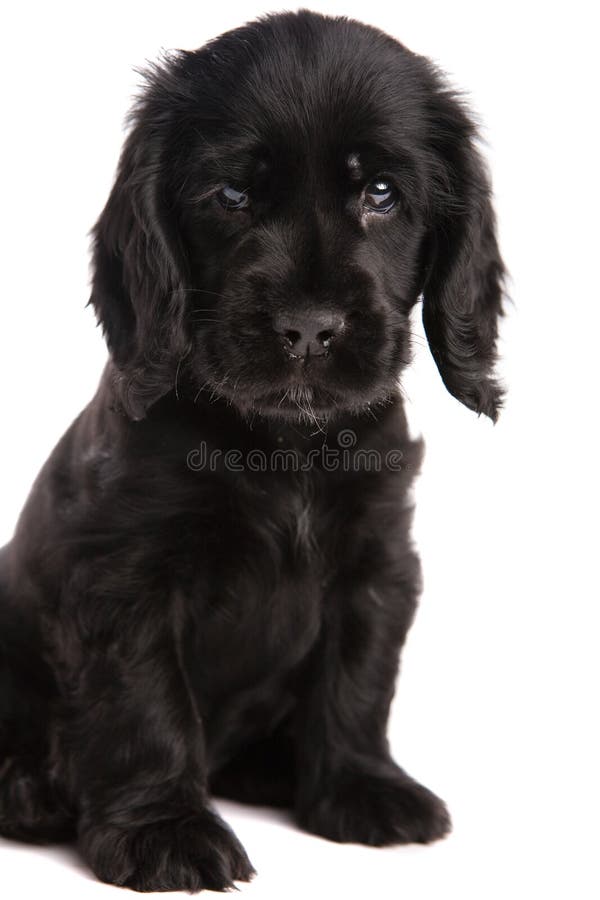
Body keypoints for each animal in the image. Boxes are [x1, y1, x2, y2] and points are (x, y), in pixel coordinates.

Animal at [0, 8, 504, 892]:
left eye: (381, 193)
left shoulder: (377, 562)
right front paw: (165, 830)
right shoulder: (125, 577)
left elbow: (359, 680)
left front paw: (362, 787)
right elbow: (145, 705)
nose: (307, 327)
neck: (284, 449)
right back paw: (28, 789)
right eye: (231, 196)